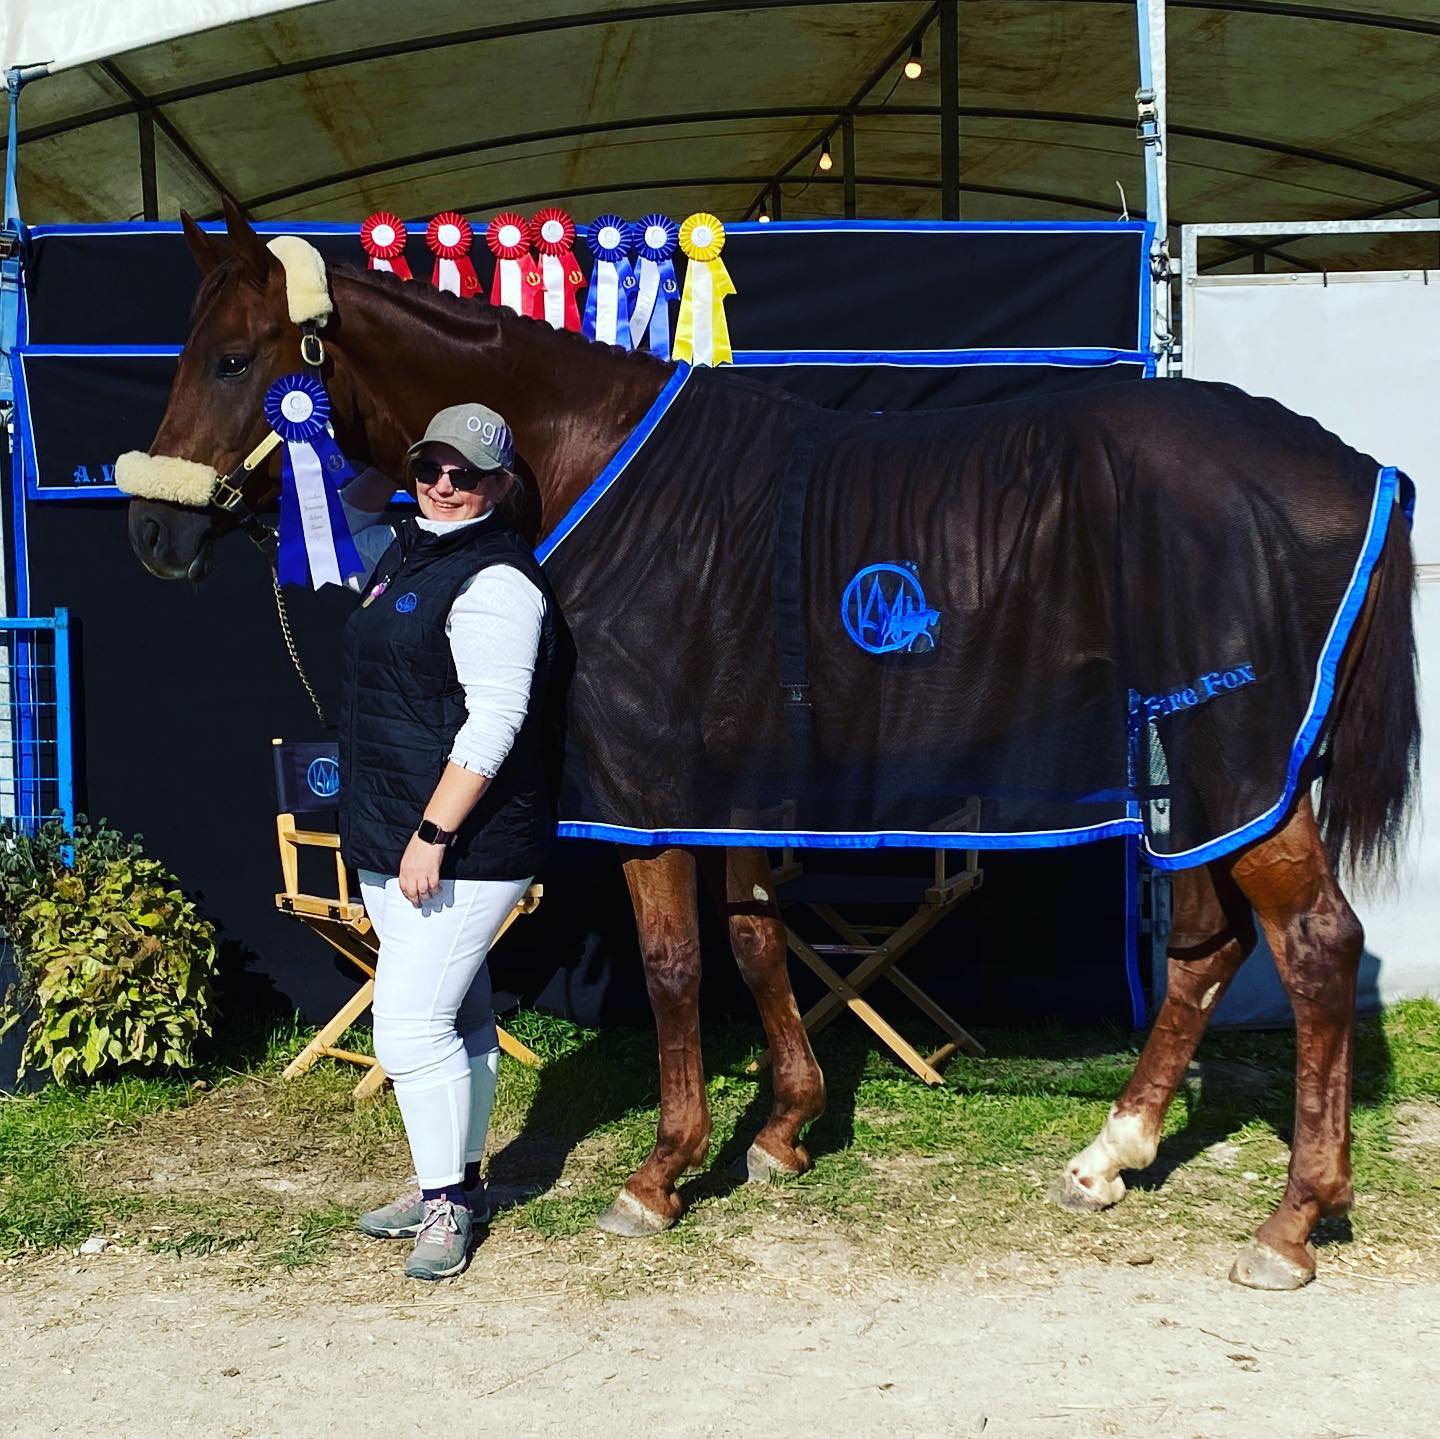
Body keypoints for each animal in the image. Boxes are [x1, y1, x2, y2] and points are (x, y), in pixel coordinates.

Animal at [121, 200, 1417, 1290]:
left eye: (234, 357)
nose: (152, 533)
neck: (590, 460)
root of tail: (1360, 471)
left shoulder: (650, 789)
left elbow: (677, 966)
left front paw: (659, 1173)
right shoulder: (727, 782)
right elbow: (753, 939)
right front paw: (786, 1128)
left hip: (1231, 759)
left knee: (1312, 944)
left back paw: (1291, 1220)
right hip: (1202, 776)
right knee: (1206, 945)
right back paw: (1113, 1155)